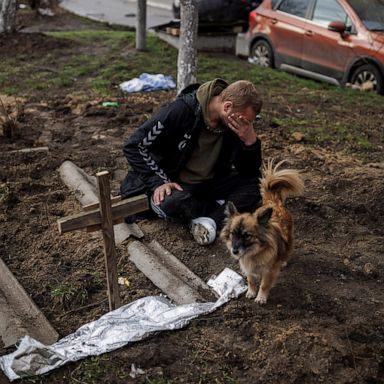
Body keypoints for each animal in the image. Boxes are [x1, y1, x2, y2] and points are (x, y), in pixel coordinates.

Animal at [220, 160, 304, 304]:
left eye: (247, 236)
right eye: (232, 234)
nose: (234, 251)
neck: (254, 253)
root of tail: (274, 203)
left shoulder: (269, 271)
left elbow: (264, 285)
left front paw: (260, 298)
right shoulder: (248, 268)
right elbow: (251, 280)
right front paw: (251, 292)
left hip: (289, 240)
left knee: (287, 251)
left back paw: (283, 261)